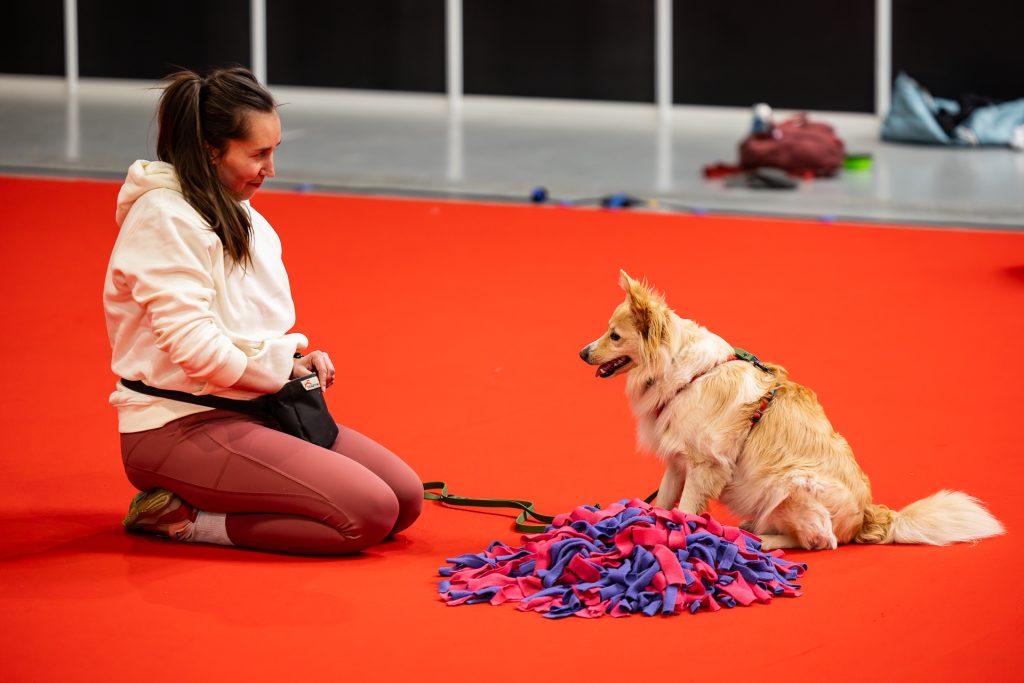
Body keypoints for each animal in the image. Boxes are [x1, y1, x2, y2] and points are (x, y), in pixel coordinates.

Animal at [579, 270, 1004, 550]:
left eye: (614, 336)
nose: (582, 353)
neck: (687, 373)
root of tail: (869, 517)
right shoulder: (678, 461)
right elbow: (665, 503)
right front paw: (648, 528)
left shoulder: (706, 464)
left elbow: (684, 510)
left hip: (790, 483)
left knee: (822, 541)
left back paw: (762, 540)